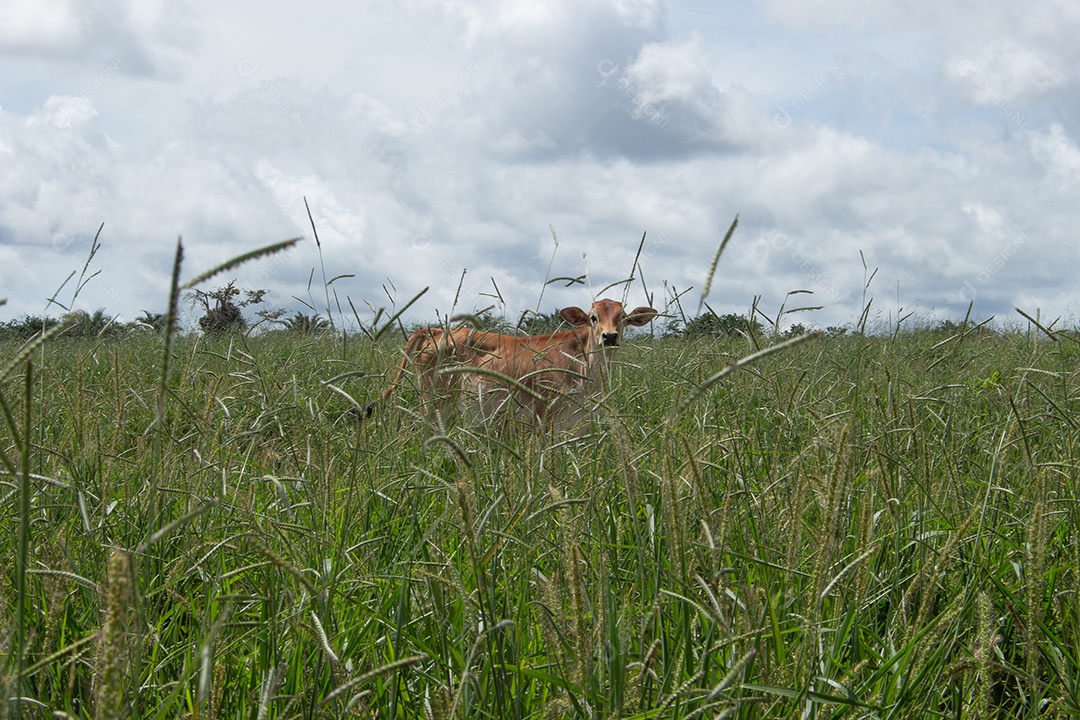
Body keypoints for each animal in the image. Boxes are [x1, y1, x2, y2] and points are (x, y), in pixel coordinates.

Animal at [377, 298, 658, 431]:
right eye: (593, 317)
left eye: (623, 317)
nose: (609, 336)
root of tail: (436, 330)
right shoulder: (545, 415)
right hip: (435, 402)